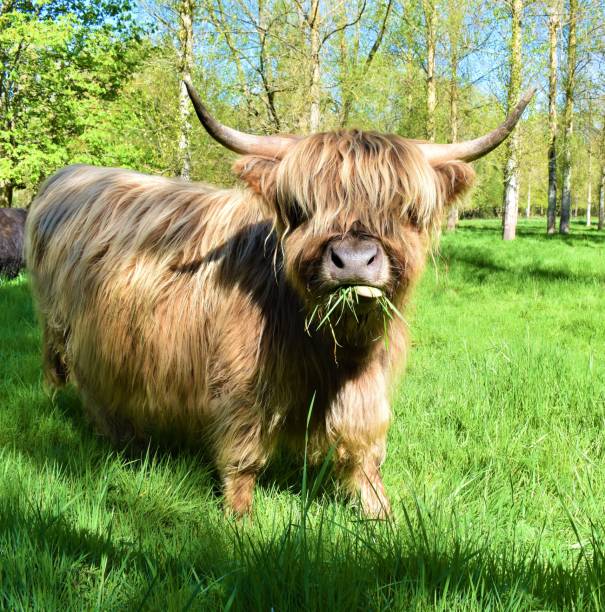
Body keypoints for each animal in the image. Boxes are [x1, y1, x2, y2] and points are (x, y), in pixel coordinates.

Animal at [26, 82, 532, 516]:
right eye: (301, 208)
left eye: (404, 209)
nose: (353, 260)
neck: (328, 346)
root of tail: (68, 176)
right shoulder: (243, 382)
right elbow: (243, 452)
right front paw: (239, 518)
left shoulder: (367, 379)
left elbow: (365, 449)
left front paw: (384, 515)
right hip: (65, 330)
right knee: (81, 384)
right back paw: (114, 440)